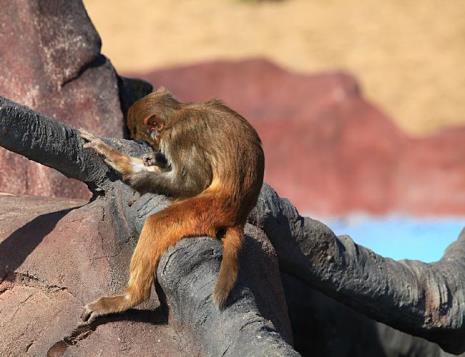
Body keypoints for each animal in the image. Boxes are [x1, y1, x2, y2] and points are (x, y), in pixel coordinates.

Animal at [78, 87, 262, 322]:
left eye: (147, 138)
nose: (153, 148)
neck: (179, 113)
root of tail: (239, 216)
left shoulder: (180, 138)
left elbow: (195, 182)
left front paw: (139, 180)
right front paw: (118, 156)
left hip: (209, 210)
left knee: (158, 223)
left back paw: (131, 297)